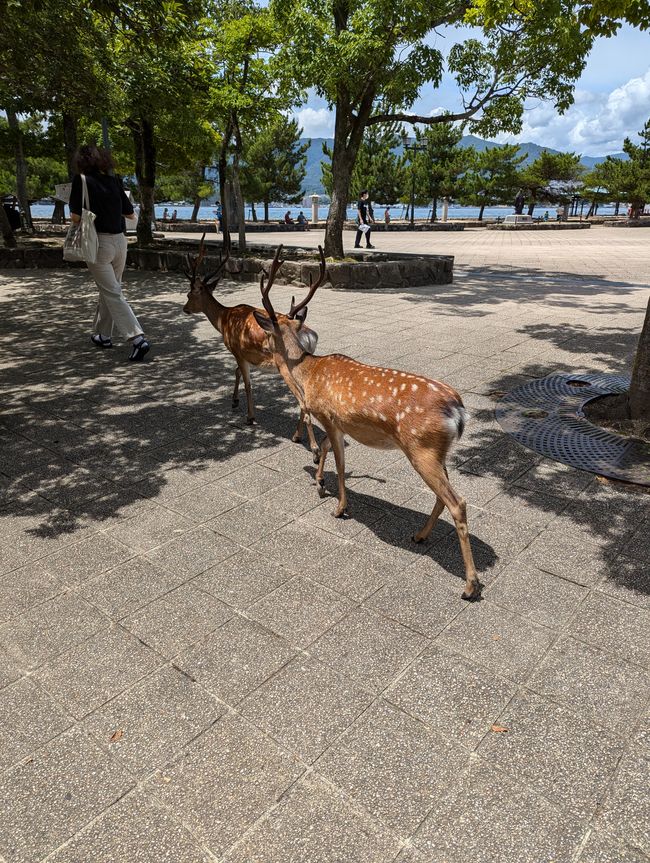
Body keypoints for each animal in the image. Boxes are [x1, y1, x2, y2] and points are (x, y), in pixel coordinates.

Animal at [181, 230, 322, 460]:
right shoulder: (245, 355)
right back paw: (296, 435)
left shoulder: (237, 350)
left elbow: (247, 382)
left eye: (189, 294)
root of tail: (309, 334)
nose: (185, 308)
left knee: (302, 400)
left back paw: (313, 447)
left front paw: (250, 417)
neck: (223, 320)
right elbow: (237, 372)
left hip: (286, 367)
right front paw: (234, 401)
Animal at [253, 246, 480, 604]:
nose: (260, 348)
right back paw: (419, 535)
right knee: (444, 497)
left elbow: (340, 463)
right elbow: (327, 450)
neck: (306, 374)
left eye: (266, 332)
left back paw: (469, 585)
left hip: (421, 447)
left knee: (458, 502)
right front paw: (319, 483)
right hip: (437, 450)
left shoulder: (330, 417)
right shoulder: (338, 424)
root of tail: (457, 410)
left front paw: (339, 507)